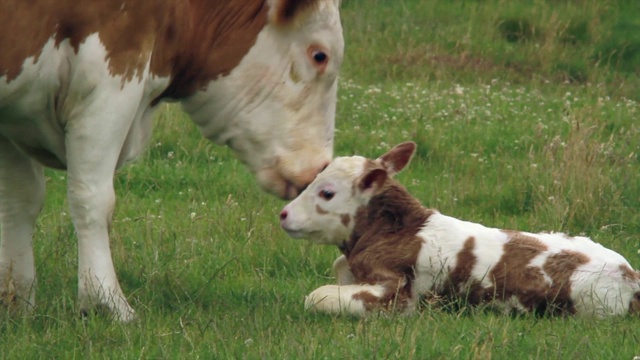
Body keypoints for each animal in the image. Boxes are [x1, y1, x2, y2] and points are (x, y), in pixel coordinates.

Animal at [0, 0, 344, 320]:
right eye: (320, 55)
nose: (319, 168)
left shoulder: (12, 116)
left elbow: (20, 200)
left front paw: (18, 301)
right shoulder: (112, 72)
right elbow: (92, 199)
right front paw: (106, 302)